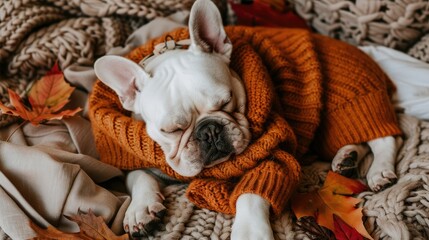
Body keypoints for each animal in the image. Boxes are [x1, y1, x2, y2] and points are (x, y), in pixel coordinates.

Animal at [92, 0, 400, 237]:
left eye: (226, 100)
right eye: (171, 130)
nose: (209, 131)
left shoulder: (271, 154)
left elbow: (252, 196)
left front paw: (251, 232)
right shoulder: (134, 154)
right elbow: (137, 175)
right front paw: (140, 209)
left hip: (348, 104)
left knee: (382, 136)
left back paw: (379, 171)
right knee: (357, 139)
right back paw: (346, 158)